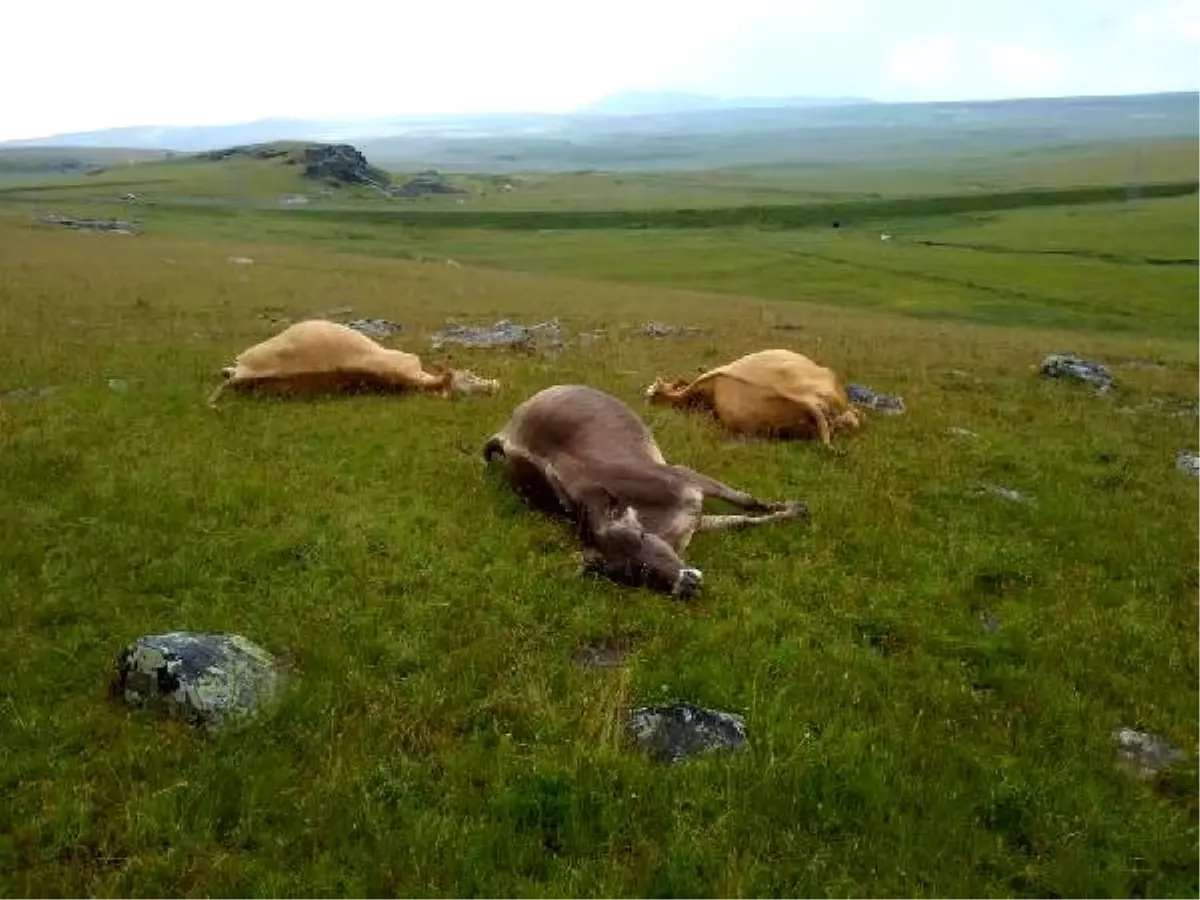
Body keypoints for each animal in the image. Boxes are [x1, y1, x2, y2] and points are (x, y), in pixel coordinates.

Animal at [482, 381, 811, 600]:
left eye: (640, 536)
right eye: (631, 573)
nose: (687, 582)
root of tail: (510, 428)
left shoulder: (687, 478)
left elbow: (747, 503)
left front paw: (795, 507)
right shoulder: (695, 514)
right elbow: (741, 521)